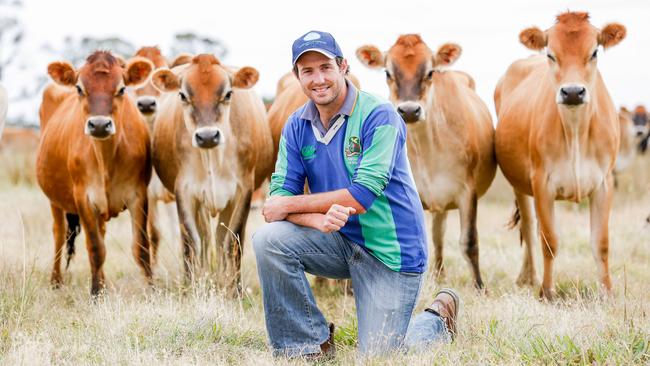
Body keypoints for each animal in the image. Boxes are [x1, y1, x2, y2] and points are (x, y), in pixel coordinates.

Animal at [37, 51, 153, 296]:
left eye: (122, 88)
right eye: (79, 88)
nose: (99, 125)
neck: (106, 159)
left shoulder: (139, 195)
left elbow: (141, 246)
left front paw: (152, 289)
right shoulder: (83, 198)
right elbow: (95, 248)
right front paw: (96, 293)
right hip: (55, 199)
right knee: (59, 234)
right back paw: (56, 281)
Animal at [151, 55, 272, 288]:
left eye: (228, 94)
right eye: (183, 95)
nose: (207, 136)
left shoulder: (243, 191)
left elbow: (231, 242)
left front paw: (234, 288)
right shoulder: (184, 192)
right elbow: (192, 242)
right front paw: (192, 285)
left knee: (218, 238)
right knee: (206, 239)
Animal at [356, 34, 494, 288]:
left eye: (430, 72)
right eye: (388, 72)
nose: (409, 111)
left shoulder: (468, 192)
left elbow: (469, 242)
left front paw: (480, 287)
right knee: (437, 236)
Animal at [494, 12, 624, 300]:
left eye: (594, 52)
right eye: (551, 54)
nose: (573, 91)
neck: (575, 130)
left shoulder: (605, 183)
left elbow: (602, 242)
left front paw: (607, 292)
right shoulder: (542, 182)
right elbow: (549, 240)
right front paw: (547, 291)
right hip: (519, 182)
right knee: (530, 227)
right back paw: (529, 277)